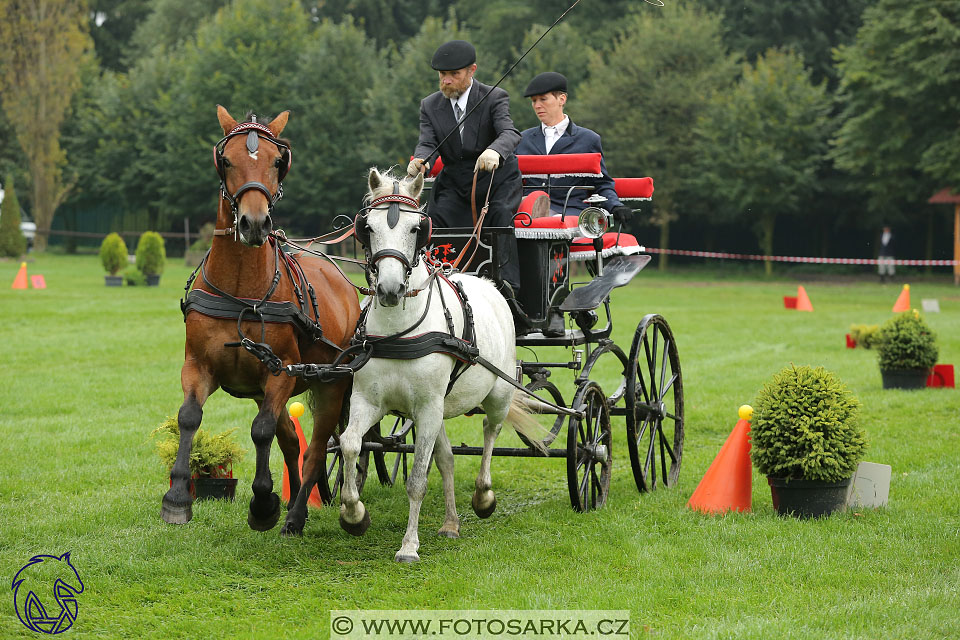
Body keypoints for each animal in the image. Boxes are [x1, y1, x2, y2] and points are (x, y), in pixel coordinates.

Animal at [163, 106, 362, 528]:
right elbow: (189, 416)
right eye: (225, 159)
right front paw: (177, 496)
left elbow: (261, 431)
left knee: (317, 447)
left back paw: (297, 514)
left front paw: (263, 501)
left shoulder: (280, 373)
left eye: (276, 161)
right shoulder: (198, 365)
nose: (254, 224)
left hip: (333, 383)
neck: (241, 292)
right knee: (292, 442)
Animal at [336, 169, 548, 560]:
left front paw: (409, 545)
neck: (398, 331)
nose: (390, 289)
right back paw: (451, 523)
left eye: (416, 228)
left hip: (496, 394)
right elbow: (350, 444)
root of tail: (488, 282)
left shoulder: (428, 408)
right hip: (438, 408)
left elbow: (418, 479)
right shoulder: (368, 401)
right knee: (447, 458)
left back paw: (483, 496)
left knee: (491, 432)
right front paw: (354, 514)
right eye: (367, 227)